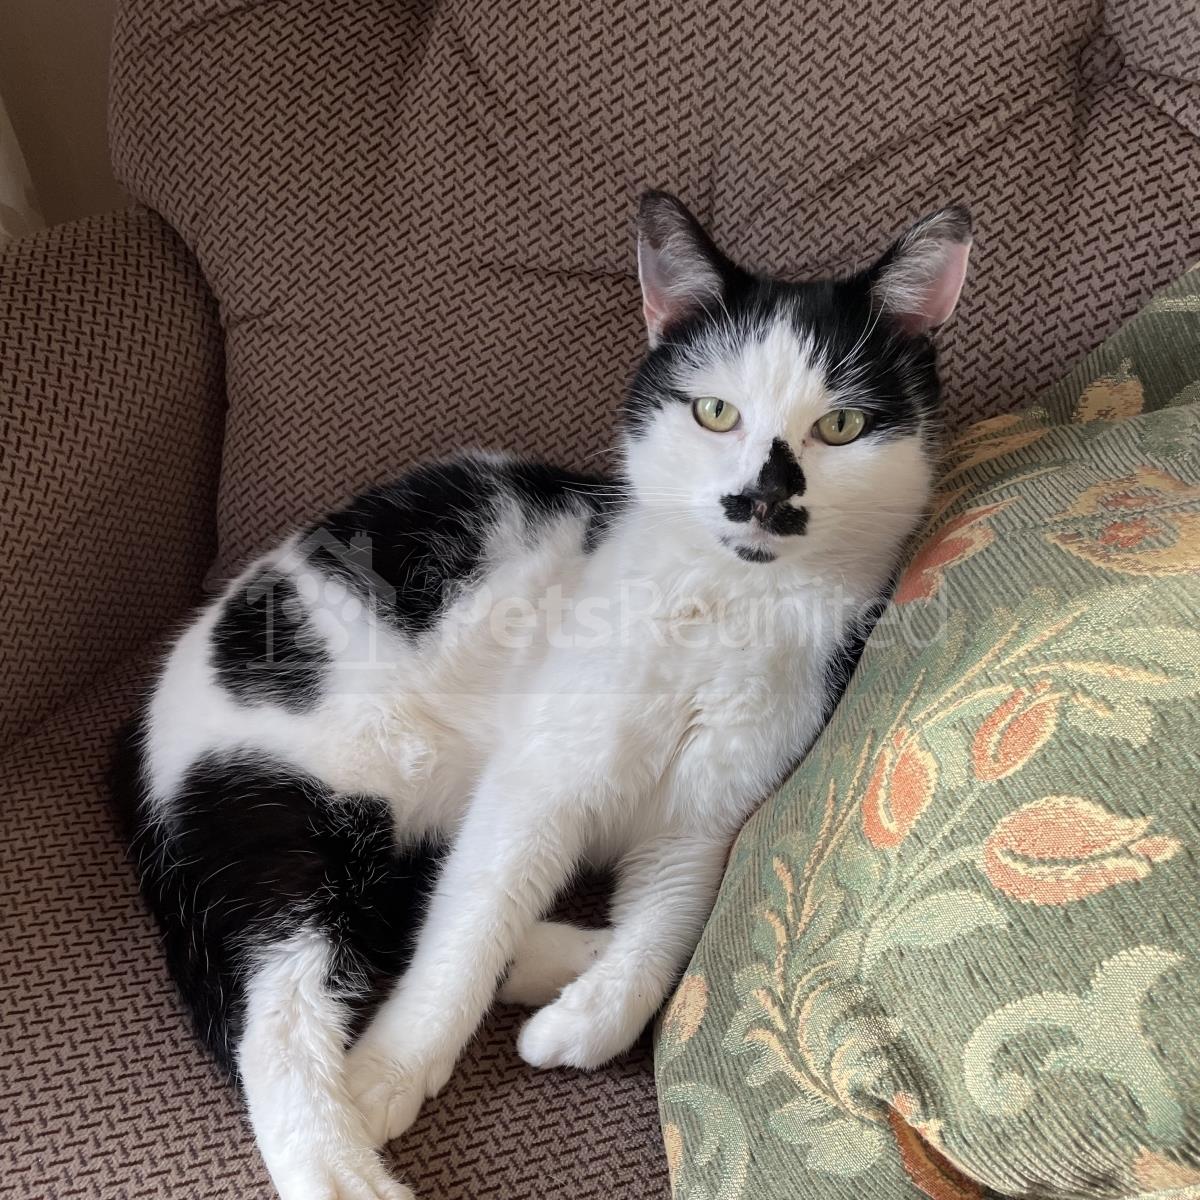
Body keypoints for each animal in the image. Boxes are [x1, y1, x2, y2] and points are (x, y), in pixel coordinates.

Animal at [113, 191, 970, 1200]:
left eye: (839, 427)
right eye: (715, 411)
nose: (761, 498)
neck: (726, 610)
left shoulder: (702, 820)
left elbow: (670, 920)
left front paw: (592, 1014)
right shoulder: (538, 783)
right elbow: (466, 935)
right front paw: (390, 1072)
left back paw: (566, 960)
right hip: (274, 817)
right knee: (285, 1012)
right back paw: (348, 1163)